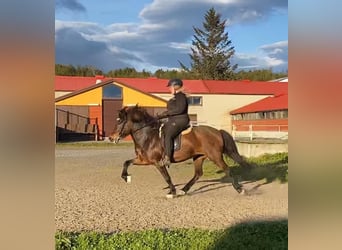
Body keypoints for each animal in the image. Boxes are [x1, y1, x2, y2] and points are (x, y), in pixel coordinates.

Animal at [109, 104, 251, 196]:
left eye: (120, 121)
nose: (111, 138)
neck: (147, 136)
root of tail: (217, 131)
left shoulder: (157, 162)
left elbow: (167, 177)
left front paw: (172, 192)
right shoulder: (143, 160)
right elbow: (126, 162)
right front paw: (126, 177)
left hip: (215, 156)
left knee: (227, 169)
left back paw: (239, 189)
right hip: (199, 157)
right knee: (198, 174)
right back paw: (184, 190)